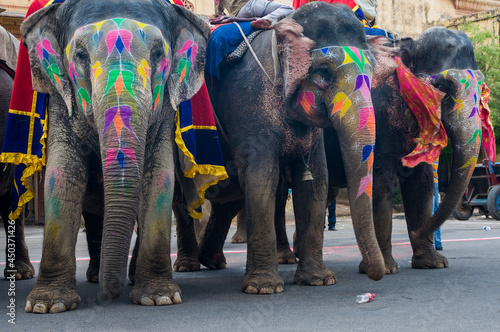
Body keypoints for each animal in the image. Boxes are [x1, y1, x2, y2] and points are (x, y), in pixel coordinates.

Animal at [19, 0, 210, 314]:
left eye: (158, 54)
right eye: (81, 55)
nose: (111, 295)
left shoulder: (164, 110)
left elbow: (159, 176)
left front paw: (159, 298)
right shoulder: (60, 99)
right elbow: (62, 176)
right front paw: (47, 305)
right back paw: (96, 277)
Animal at [173, 1, 386, 294]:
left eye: (371, 73)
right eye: (323, 74)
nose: (374, 275)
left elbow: (315, 181)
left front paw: (319, 280)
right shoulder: (249, 105)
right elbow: (262, 178)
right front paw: (263, 288)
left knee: (228, 198)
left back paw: (212, 261)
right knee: (182, 199)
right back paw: (187, 265)